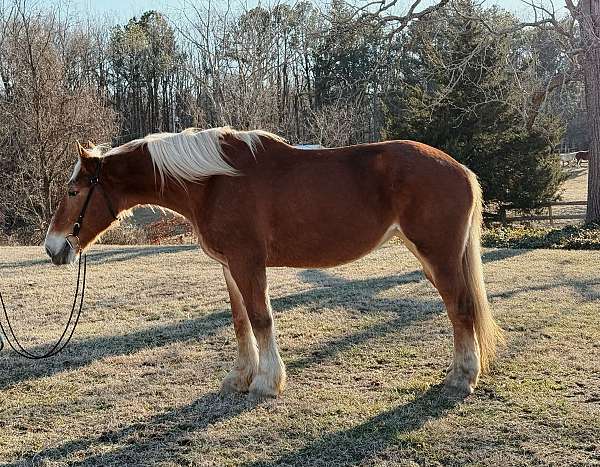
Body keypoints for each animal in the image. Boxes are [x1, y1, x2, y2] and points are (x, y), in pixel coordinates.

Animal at [44, 126, 502, 400]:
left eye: (72, 191)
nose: (53, 248)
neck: (213, 182)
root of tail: (459, 168)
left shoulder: (248, 263)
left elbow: (261, 319)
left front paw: (266, 382)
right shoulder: (229, 266)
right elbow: (241, 321)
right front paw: (240, 377)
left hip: (439, 257)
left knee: (460, 310)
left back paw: (462, 377)